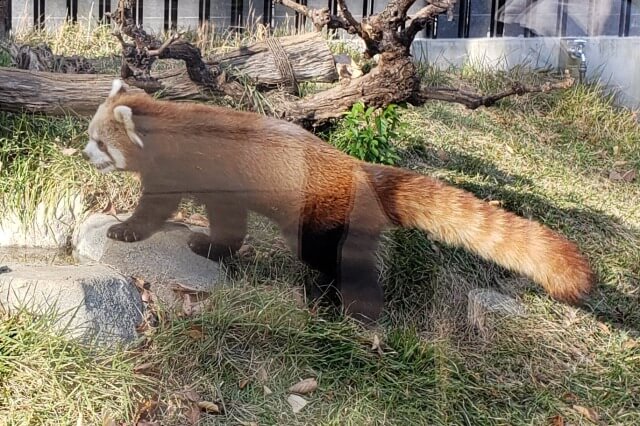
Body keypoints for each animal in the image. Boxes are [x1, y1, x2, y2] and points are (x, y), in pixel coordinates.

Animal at [81, 80, 596, 324]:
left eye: (100, 143)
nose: (83, 154)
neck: (165, 123)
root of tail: (363, 170)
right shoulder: (226, 188)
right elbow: (230, 222)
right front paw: (211, 247)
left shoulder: (183, 167)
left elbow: (157, 206)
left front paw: (125, 228)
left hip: (324, 218)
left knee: (340, 260)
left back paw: (355, 310)